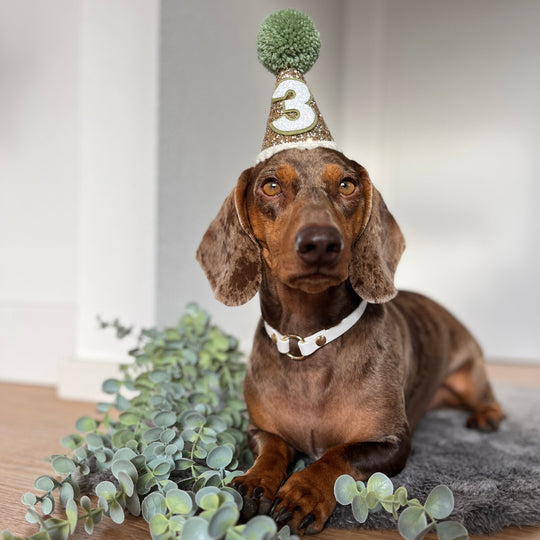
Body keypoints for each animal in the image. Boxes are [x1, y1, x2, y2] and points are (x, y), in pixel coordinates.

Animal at [196, 146, 504, 532]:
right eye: (270, 185)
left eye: (346, 185)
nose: (320, 243)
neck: (308, 342)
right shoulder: (259, 430)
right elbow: (273, 449)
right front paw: (255, 482)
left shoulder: (392, 443)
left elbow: (336, 454)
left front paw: (304, 492)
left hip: (470, 375)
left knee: (489, 398)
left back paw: (487, 415)